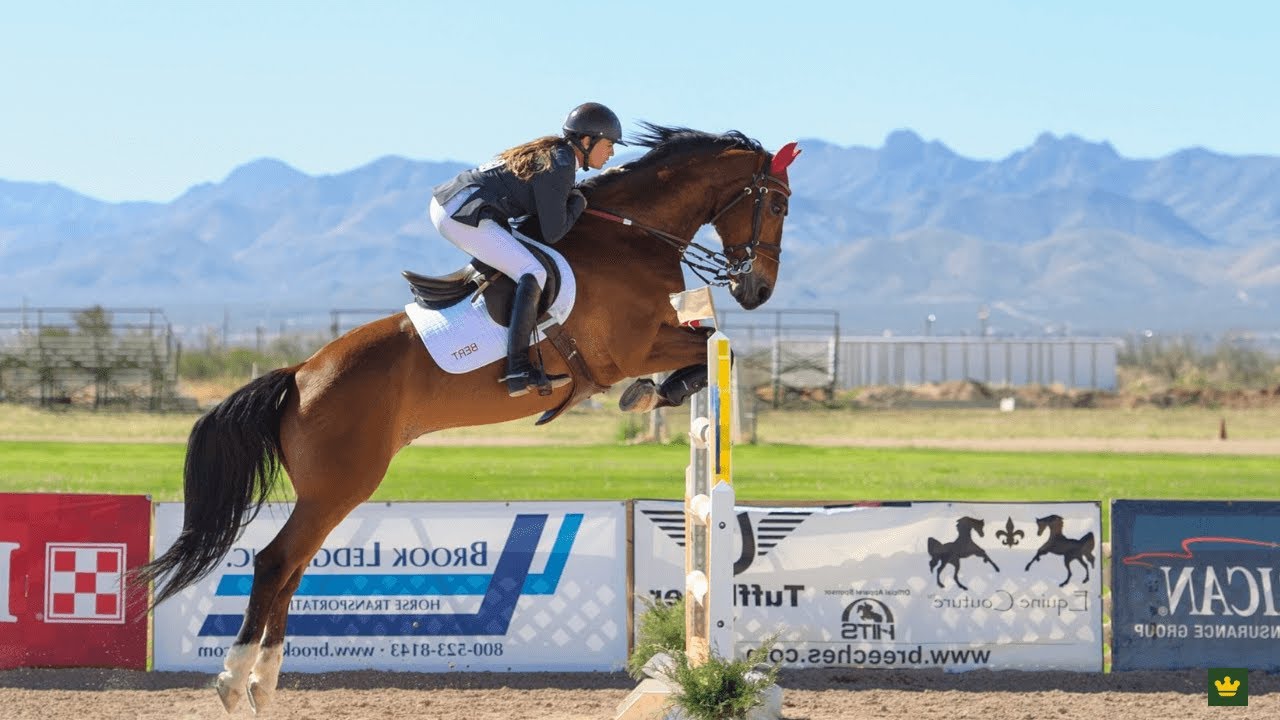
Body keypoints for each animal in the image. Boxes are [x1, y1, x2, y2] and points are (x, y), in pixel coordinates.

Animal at [134, 124, 799, 713]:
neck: (634, 239)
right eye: (777, 203)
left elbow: (709, 345)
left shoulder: (653, 337)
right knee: (275, 562)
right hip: (341, 485)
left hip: (328, 491)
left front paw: (658, 392)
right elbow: (714, 346)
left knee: (292, 568)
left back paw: (264, 685)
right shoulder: (630, 346)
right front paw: (657, 390)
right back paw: (232, 681)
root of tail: (300, 374)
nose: (759, 291)